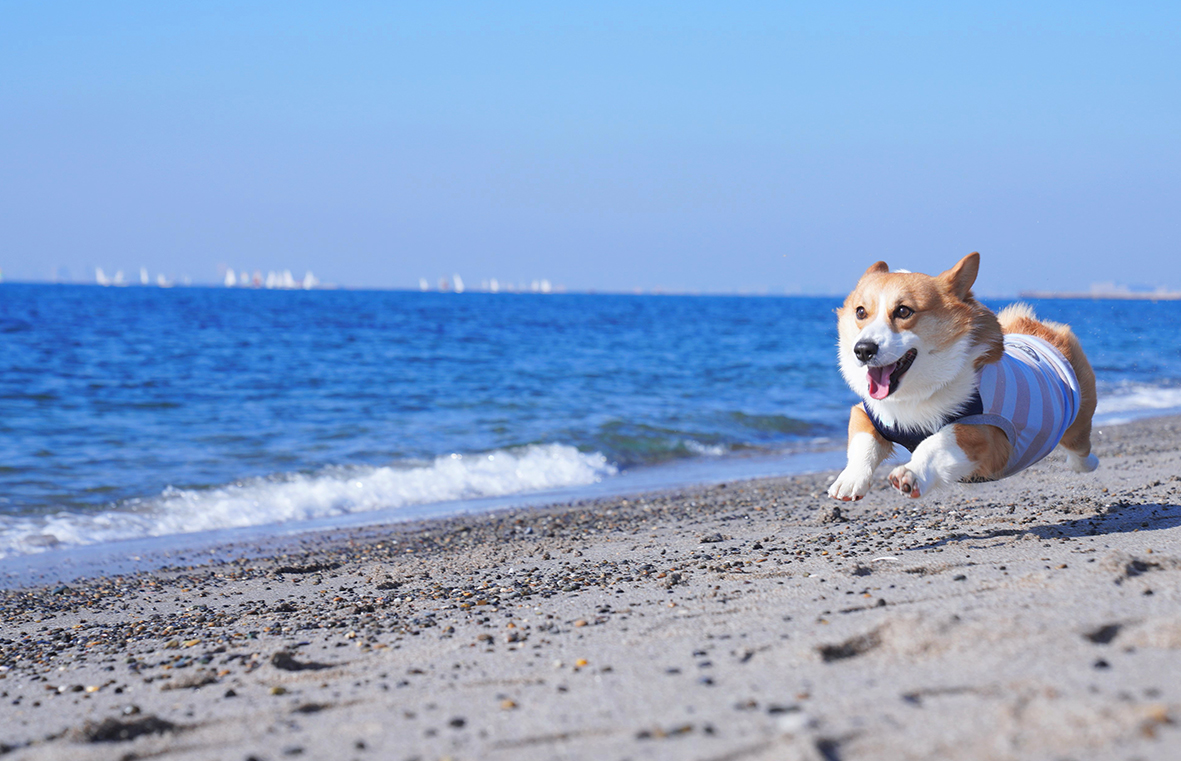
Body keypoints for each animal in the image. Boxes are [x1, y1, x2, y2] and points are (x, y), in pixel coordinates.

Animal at [831, 252, 1095, 503]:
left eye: (903, 311)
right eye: (860, 312)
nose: (863, 350)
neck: (916, 394)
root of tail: (1039, 331)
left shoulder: (984, 434)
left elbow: (937, 441)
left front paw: (911, 474)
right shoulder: (868, 413)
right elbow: (863, 443)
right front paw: (849, 481)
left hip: (1077, 424)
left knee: (1080, 447)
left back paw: (1087, 464)